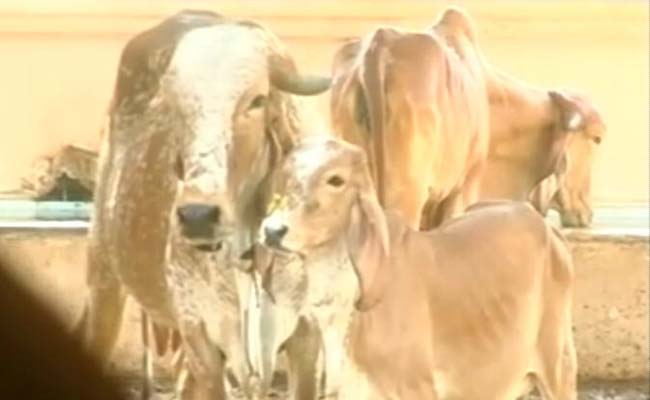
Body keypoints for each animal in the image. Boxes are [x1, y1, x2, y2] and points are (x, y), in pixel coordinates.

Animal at [76, 10, 330, 399]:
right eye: (177, 107)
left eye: (257, 101)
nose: (198, 215)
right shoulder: (200, 336)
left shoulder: (308, 338)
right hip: (103, 277)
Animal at [257, 136, 577, 400]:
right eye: (288, 175)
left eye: (336, 180)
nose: (272, 230)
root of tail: (547, 228)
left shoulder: (416, 389)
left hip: (557, 367)